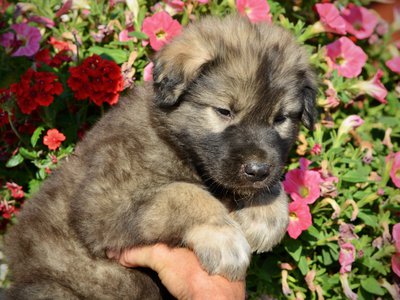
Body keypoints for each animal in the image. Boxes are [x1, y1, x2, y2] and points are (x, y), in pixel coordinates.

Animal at [3, 15, 316, 298]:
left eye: (281, 119)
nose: (258, 170)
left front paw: (266, 211)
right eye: (224, 111)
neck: (176, 144)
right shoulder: (102, 205)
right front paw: (223, 237)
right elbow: (181, 192)